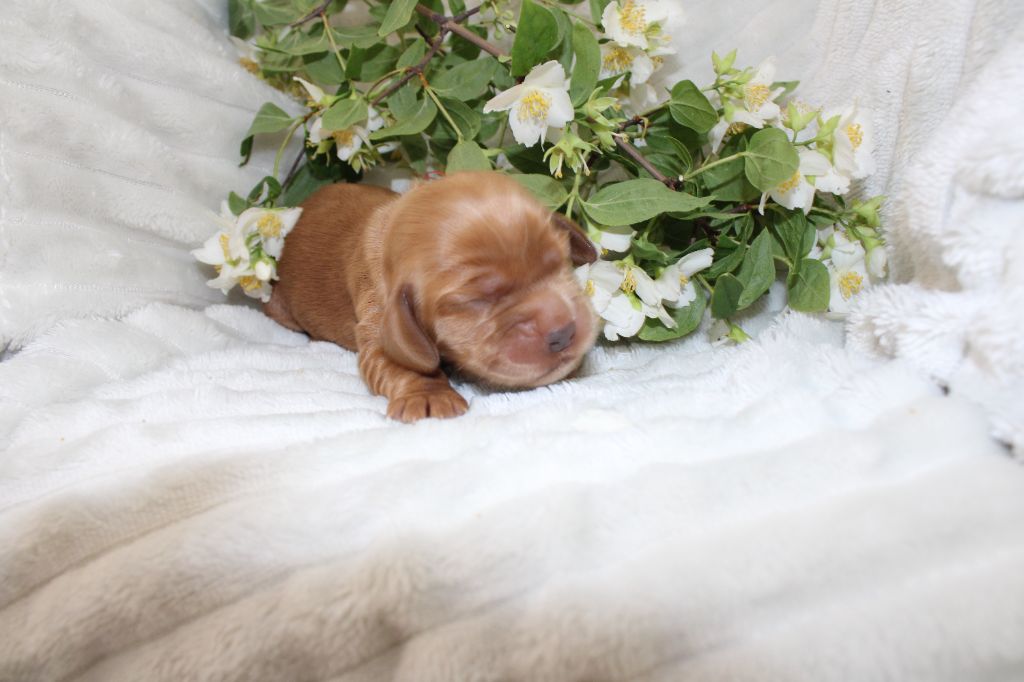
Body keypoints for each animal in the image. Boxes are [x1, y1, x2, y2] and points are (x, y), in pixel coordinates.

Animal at [264, 171, 599, 422]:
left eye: (560, 262)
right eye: (475, 301)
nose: (563, 333)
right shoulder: (378, 321)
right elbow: (404, 363)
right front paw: (429, 396)